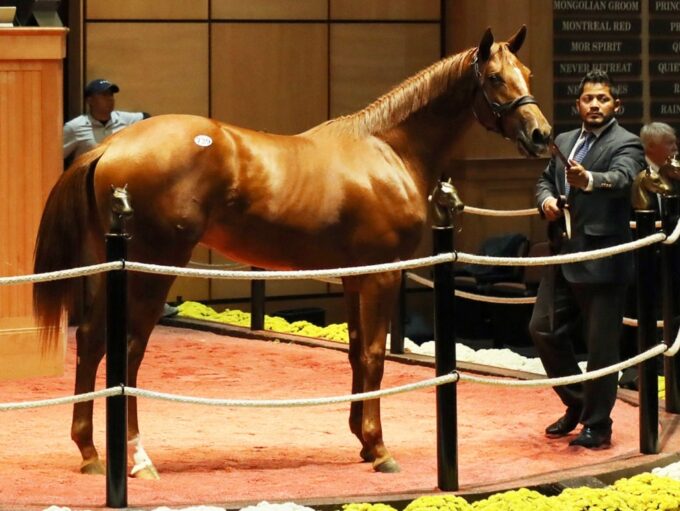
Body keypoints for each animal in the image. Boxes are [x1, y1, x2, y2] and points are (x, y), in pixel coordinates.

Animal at [33, 26, 552, 478]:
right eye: (494, 77)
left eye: (527, 71)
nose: (542, 135)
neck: (388, 149)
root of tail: (110, 146)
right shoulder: (383, 275)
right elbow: (374, 357)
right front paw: (380, 448)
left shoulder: (355, 275)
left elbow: (357, 352)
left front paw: (364, 442)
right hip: (151, 271)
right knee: (128, 351)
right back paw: (138, 459)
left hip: (113, 270)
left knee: (91, 341)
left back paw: (90, 452)